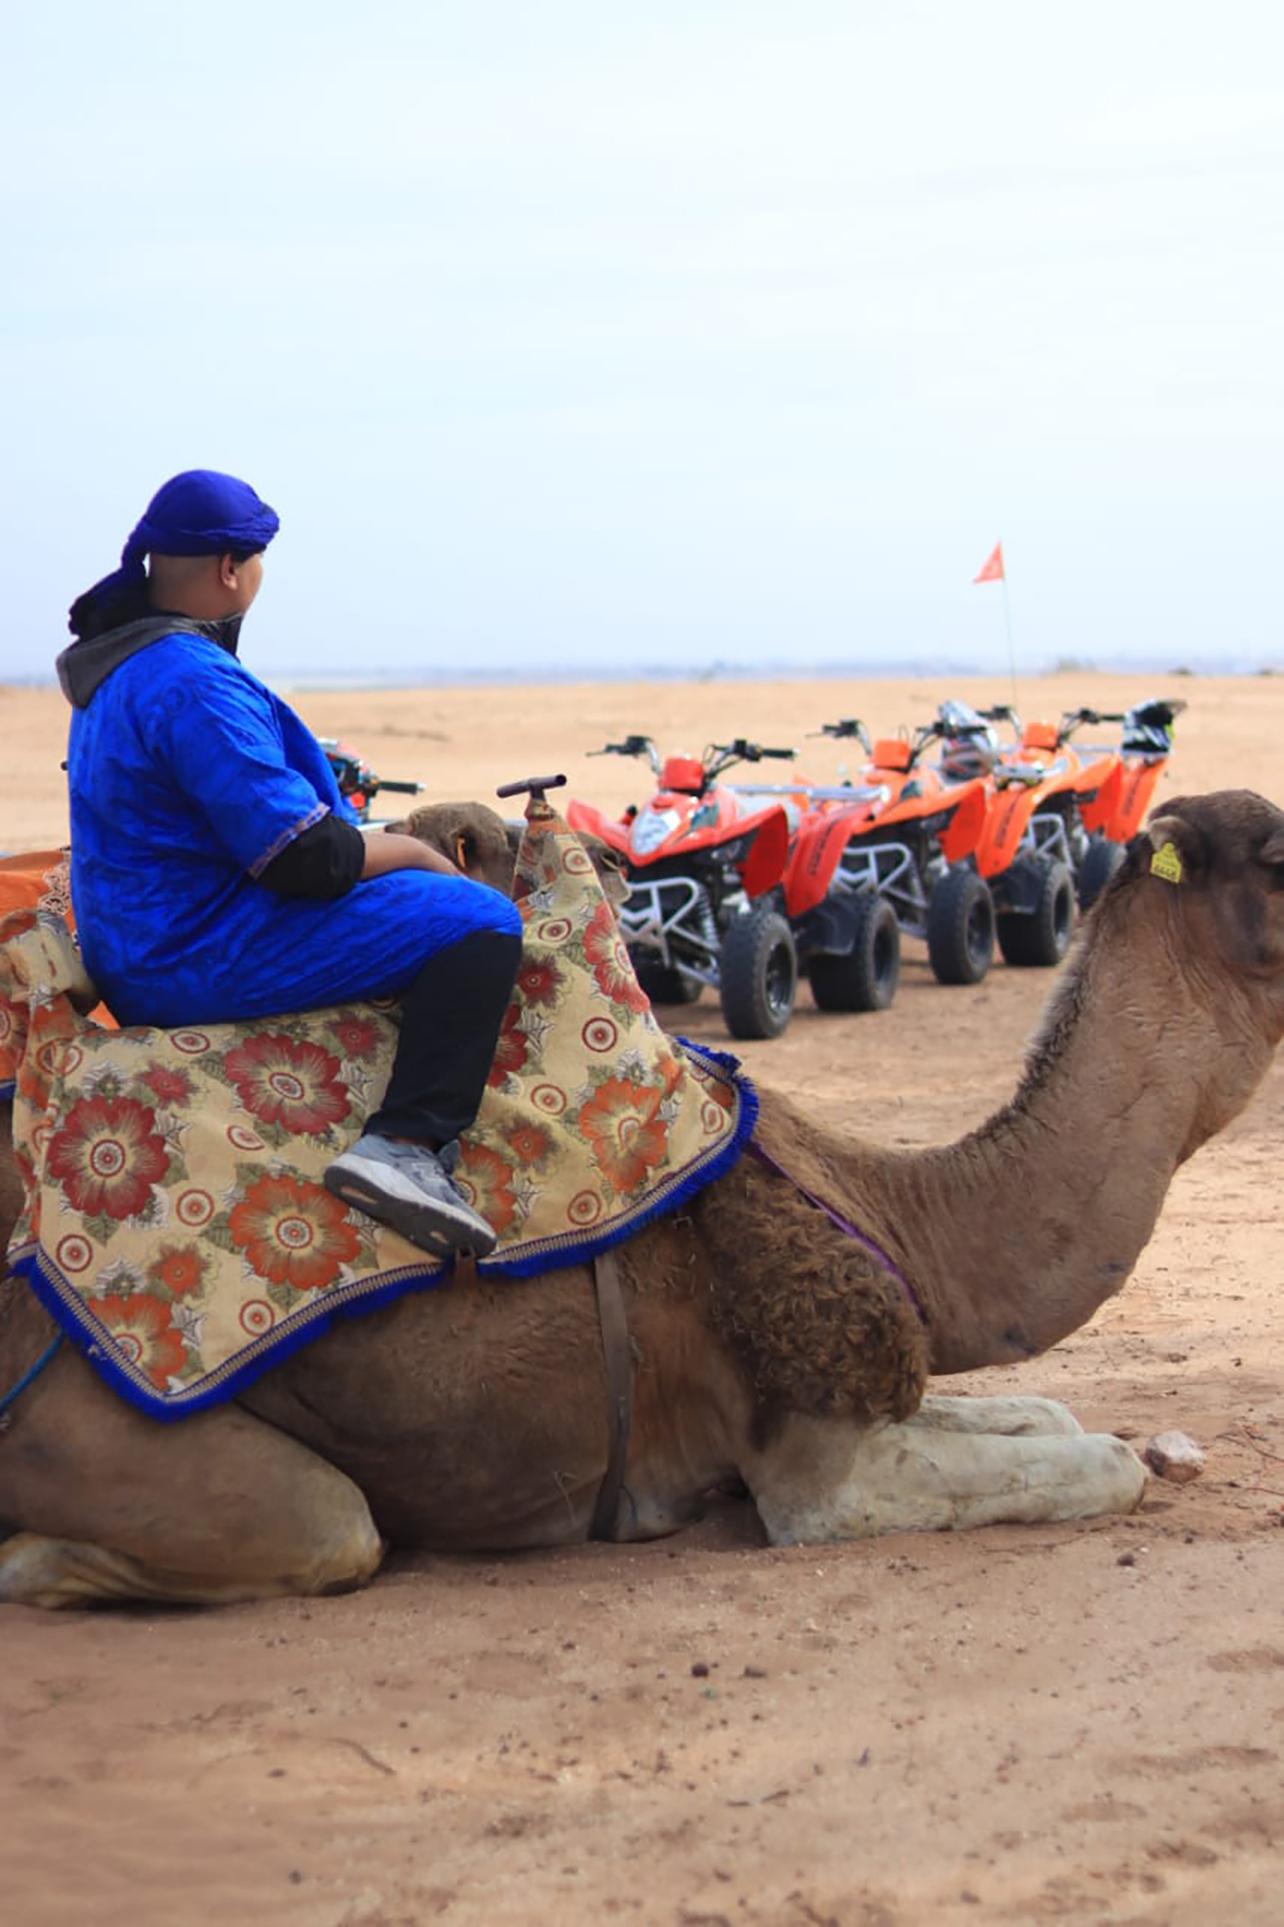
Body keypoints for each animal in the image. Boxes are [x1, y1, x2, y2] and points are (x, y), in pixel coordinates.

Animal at [0, 789, 1281, 1609]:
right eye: (1273, 852)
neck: (893, 1205)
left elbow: (1054, 1415)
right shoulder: (817, 1470)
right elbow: (1103, 1461)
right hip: (118, 1435)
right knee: (328, 1529)